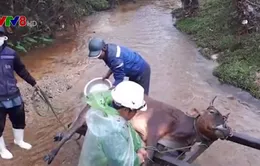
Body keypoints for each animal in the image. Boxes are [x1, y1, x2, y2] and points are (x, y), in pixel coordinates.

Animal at [43, 96, 231, 165]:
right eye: (212, 111)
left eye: (225, 117)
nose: (226, 127)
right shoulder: (153, 133)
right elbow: (148, 159)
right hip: (86, 112)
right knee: (70, 132)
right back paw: (51, 154)